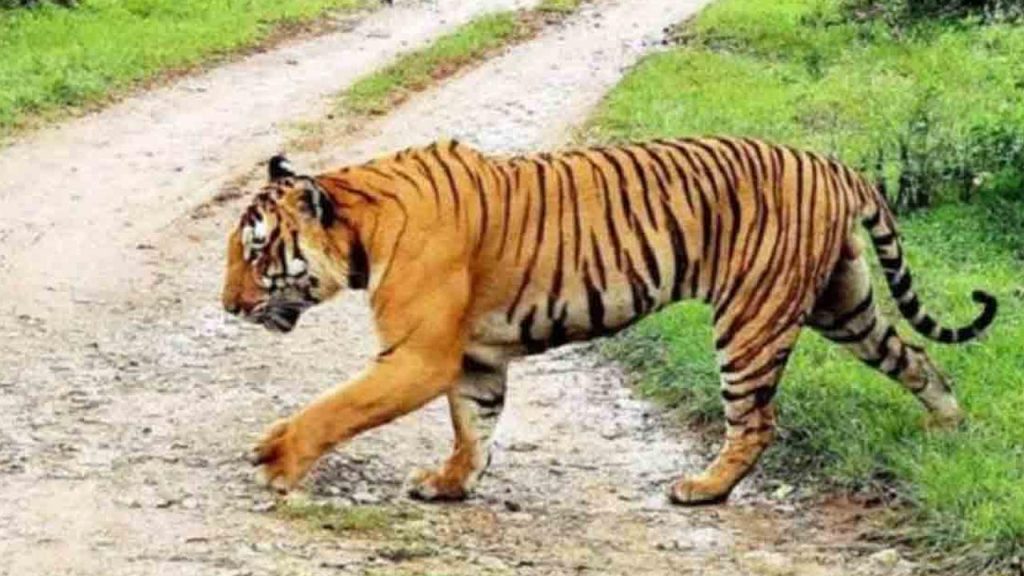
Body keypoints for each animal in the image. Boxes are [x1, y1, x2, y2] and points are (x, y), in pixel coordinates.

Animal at [221, 137, 997, 505]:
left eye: (256, 250)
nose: (227, 306)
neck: (363, 223)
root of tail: (835, 164)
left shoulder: (419, 357)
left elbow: (334, 407)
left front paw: (278, 459)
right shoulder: (474, 359)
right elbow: (475, 427)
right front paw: (451, 485)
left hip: (751, 319)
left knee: (755, 421)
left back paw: (704, 490)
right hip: (845, 303)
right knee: (917, 358)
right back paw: (949, 428)